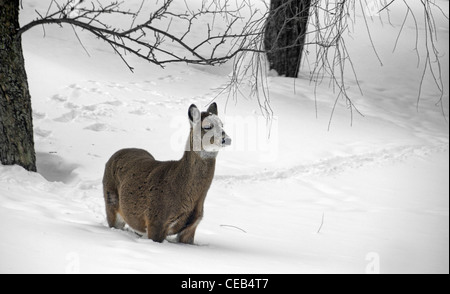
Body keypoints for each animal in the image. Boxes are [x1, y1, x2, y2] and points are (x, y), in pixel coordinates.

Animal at [102, 103, 232, 243]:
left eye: (222, 125)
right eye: (207, 126)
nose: (226, 139)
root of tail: (115, 154)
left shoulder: (191, 227)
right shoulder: (155, 220)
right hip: (111, 202)